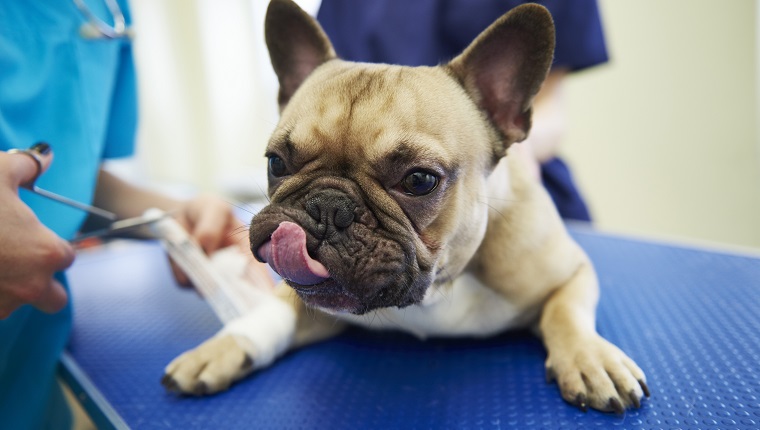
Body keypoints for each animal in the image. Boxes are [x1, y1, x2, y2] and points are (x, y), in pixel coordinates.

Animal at [160, 0, 648, 414]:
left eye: (419, 180)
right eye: (276, 162)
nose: (326, 206)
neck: (436, 290)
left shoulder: (570, 271)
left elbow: (567, 311)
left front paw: (590, 358)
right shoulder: (313, 302)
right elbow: (273, 311)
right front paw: (222, 349)